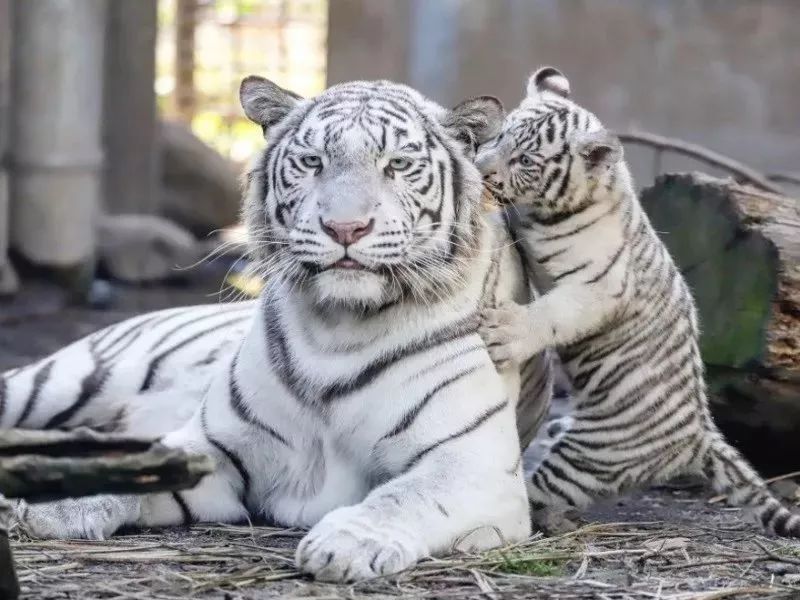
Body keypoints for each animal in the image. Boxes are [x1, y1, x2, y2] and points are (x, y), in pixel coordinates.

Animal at [0, 76, 554, 582]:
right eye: (313, 162)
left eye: (397, 165)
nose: (345, 228)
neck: (339, 328)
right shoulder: (214, 446)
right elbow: (145, 470)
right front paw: (58, 504)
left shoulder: (471, 463)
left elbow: (404, 496)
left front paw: (344, 545)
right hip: (63, 380)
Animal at [475, 66, 800, 538]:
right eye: (500, 137)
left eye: (526, 162)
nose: (480, 169)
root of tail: (699, 434)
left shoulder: (598, 288)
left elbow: (552, 314)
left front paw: (506, 332)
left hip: (589, 457)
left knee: (546, 494)